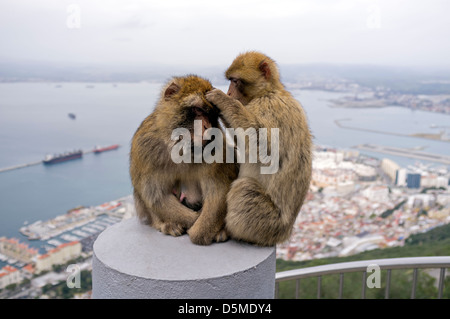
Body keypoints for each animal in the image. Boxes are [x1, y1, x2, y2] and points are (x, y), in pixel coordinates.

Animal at [130, 74, 239, 245]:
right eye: (198, 110)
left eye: (211, 115)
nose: (208, 127)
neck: (181, 147)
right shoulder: (146, 147)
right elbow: (156, 194)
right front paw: (192, 221)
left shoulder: (217, 147)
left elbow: (218, 191)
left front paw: (199, 233)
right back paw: (165, 224)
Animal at [205, 52, 312, 248]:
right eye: (230, 81)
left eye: (235, 81)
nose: (229, 93)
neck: (268, 91)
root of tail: (285, 233)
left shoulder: (268, 107)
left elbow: (261, 145)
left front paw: (223, 100)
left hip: (266, 222)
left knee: (244, 188)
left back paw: (230, 231)